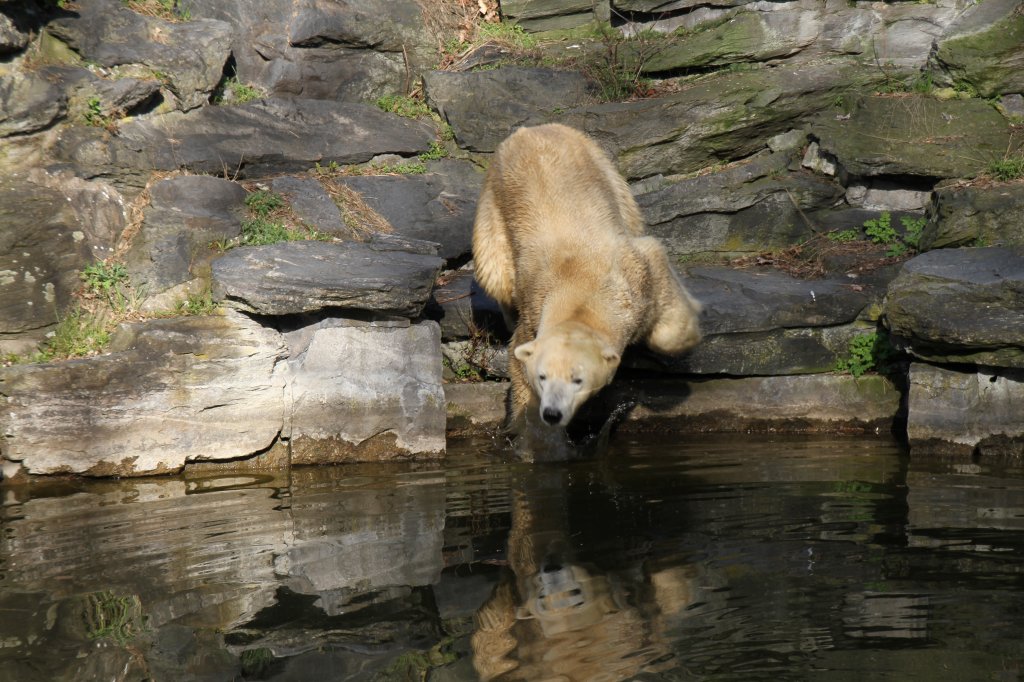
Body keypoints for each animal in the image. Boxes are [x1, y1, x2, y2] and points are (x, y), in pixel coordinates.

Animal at [473, 123, 704, 430]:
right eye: (543, 377)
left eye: (578, 380)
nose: (553, 413)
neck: (583, 288)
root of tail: (530, 129)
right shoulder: (533, 313)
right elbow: (520, 369)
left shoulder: (636, 270)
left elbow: (659, 275)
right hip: (493, 204)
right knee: (496, 273)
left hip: (603, 169)